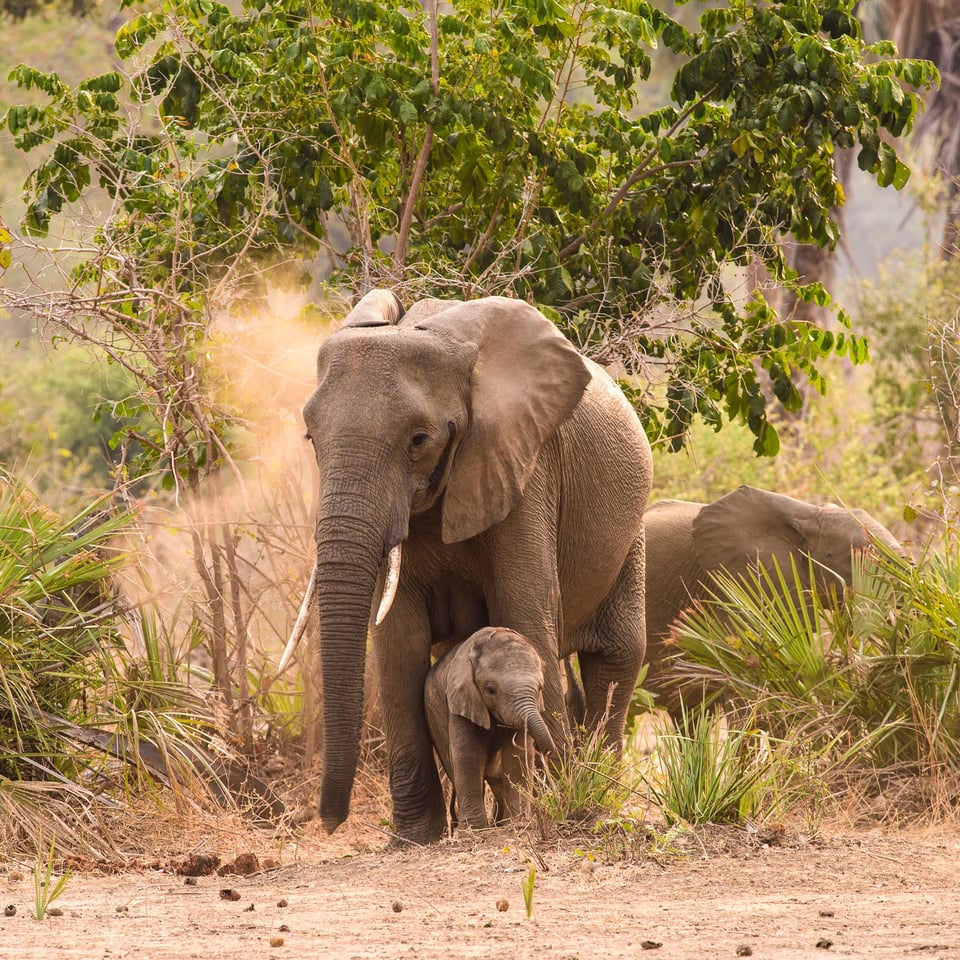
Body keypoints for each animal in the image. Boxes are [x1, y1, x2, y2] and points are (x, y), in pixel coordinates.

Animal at [426, 628, 560, 828]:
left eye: (540, 689)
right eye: (490, 689)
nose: (544, 751)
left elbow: (517, 756)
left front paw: (515, 823)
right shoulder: (460, 700)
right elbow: (467, 755)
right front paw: (475, 829)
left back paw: (499, 822)